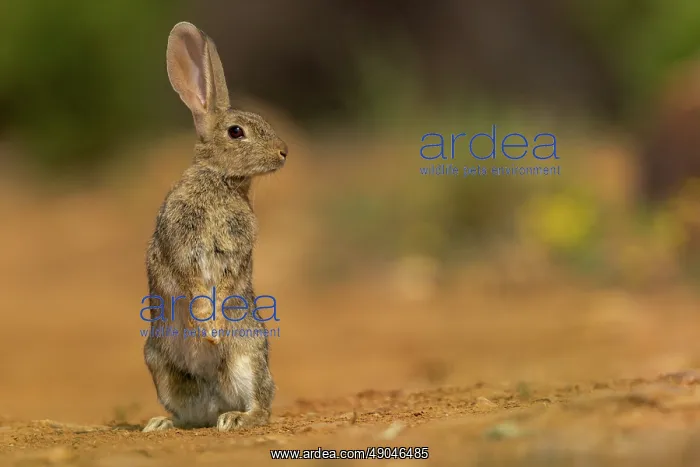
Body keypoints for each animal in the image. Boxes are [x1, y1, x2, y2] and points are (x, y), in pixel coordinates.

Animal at [141, 21, 287, 432]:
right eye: (236, 132)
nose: (284, 152)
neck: (221, 179)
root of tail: (215, 402)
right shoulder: (182, 244)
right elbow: (192, 284)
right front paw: (207, 331)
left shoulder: (234, 252)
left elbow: (222, 285)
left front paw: (213, 331)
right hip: (161, 367)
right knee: (189, 416)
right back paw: (161, 424)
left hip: (247, 356)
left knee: (260, 405)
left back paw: (235, 418)